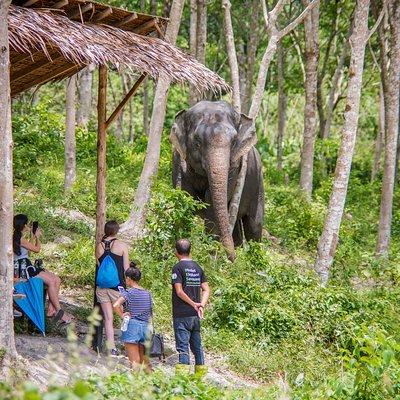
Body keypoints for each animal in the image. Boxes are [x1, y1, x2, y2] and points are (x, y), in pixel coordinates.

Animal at [170, 101, 264, 260]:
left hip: (258, 184)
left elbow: (211, 202)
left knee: (254, 225)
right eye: (197, 142)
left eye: (234, 142)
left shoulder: (235, 167)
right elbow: (184, 196)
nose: (232, 259)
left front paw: (209, 257)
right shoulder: (178, 159)